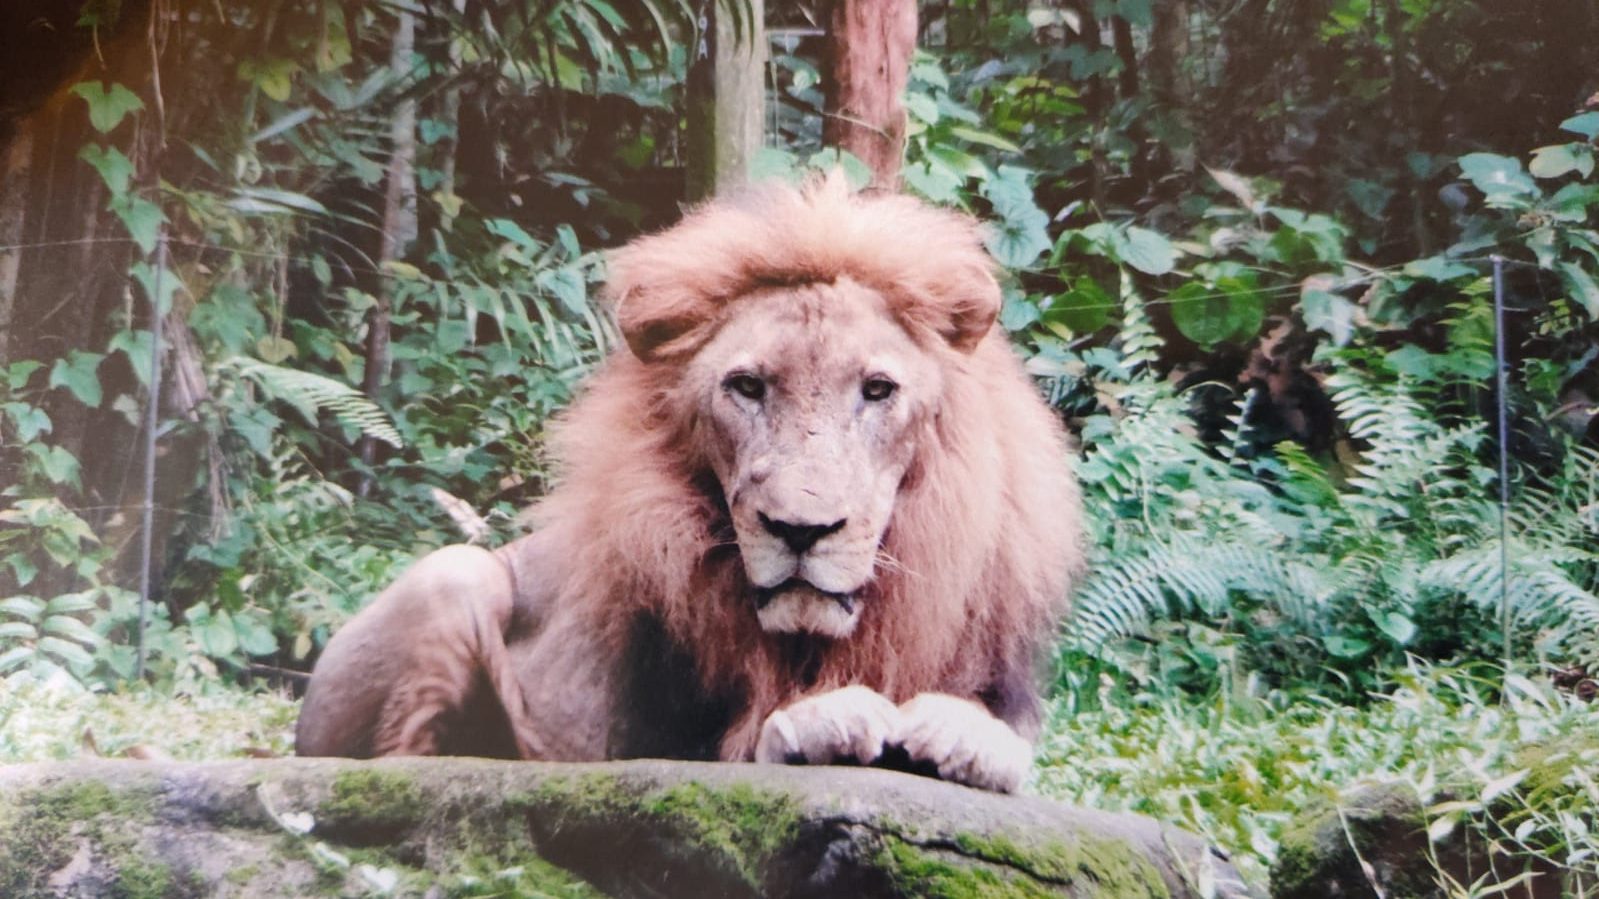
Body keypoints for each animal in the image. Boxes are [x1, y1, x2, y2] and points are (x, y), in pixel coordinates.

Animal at [295, 175, 1085, 793]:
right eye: (747, 386)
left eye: (877, 389)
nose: (800, 530)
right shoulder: (653, 737)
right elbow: (746, 739)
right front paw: (821, 718)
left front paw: (964, 733)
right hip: (453, 578)